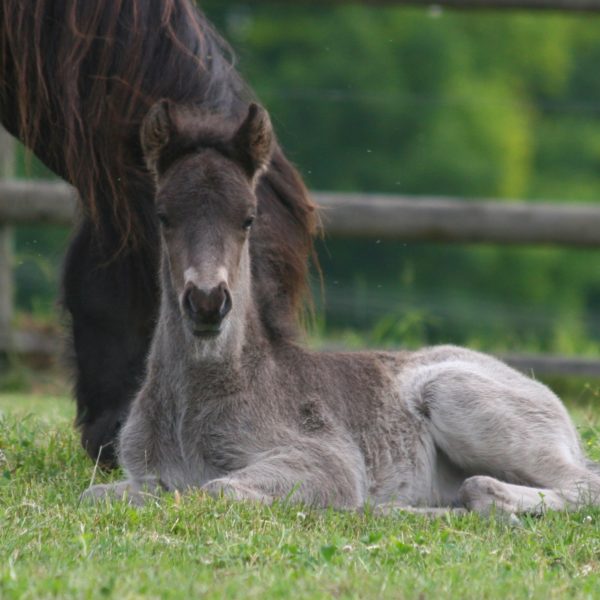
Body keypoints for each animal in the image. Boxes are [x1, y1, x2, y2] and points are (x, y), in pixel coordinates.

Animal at [83, 101, 600, 512]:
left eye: (248, 218)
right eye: (162, 216)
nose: (208, 302)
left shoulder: (327, 461)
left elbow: (215, 489)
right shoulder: (142, 472)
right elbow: (100, 494)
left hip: (458, 395)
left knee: (577, 485)